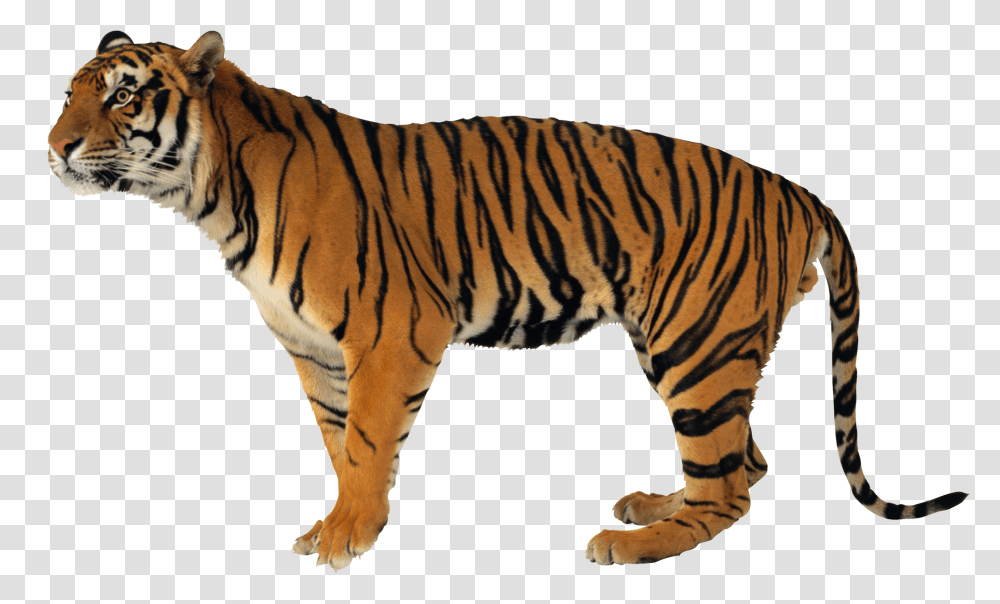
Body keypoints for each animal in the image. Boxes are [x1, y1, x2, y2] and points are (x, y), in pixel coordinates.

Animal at [48, 30, 968, 570]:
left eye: (123, 94)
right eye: (70, 92)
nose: (54, 147)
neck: (212, 194)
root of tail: (796, 189)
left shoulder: (391, 334)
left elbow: (368, 442)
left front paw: (349, 535)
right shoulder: (314, 351)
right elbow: (339, 442)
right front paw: (340, 522)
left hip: (697, 345)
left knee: (729, 488)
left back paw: (633, 542)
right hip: (690, 344)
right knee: (745, 460)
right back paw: (652, 503)